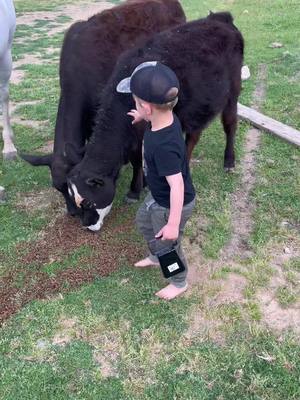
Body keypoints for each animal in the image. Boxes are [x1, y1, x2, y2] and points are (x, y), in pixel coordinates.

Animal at [67, 11, 244, 231]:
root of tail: (220, 18)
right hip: (197, 106)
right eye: (76, 202)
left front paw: (135, 190)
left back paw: (229, 160)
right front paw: (143, 183)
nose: (87, 226)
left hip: (233, 92)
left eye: (89, 202)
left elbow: (137, 159)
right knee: (193, 135)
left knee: (230, 124)